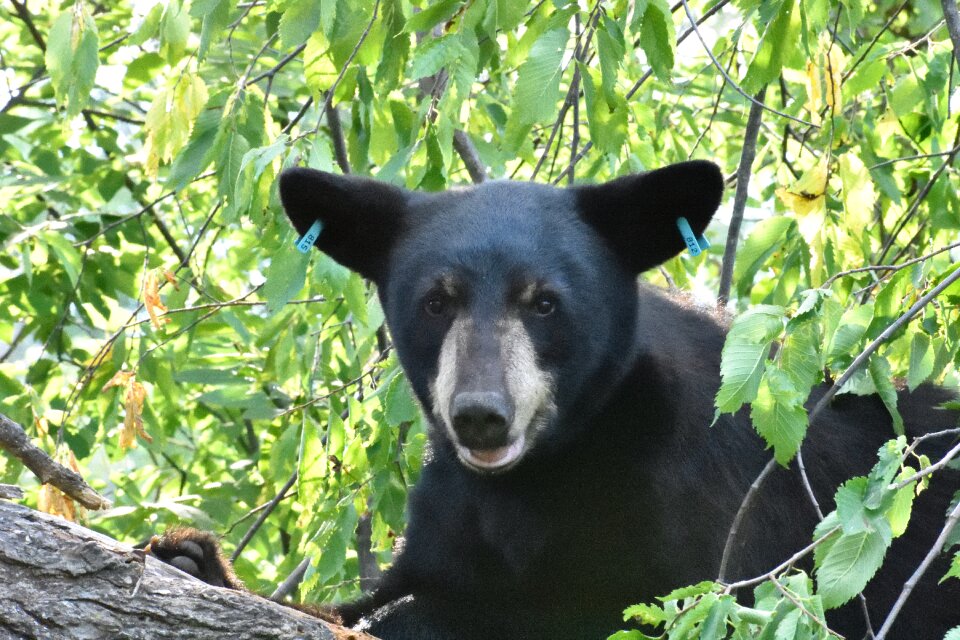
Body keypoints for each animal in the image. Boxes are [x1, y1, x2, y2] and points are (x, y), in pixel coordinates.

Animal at [152, 162, 960, 636]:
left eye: (544, 302)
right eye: (436, 301)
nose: (481, 414)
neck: (541, 475)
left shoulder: (709, 509)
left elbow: (610, 606)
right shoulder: (453, 511)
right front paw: (193, 559)